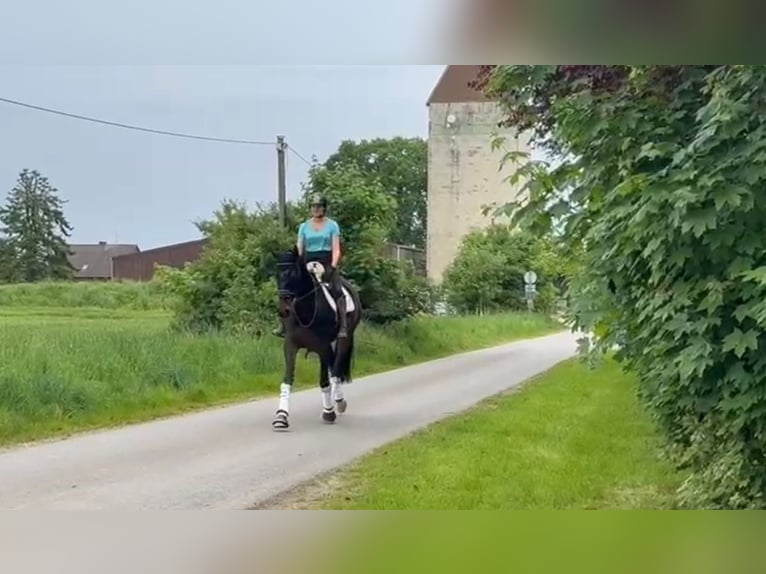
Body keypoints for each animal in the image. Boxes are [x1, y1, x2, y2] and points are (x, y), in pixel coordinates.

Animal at [272, 248, 364, 432]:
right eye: (277, 274)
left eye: (293, 274)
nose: (284, 310)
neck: (306, 309)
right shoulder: (290, 346)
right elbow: (287, 380)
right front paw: (281, 417)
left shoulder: (322, 347)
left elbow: (324, 381)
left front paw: (328, 412)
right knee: (334, 369)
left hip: (343, 340)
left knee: (335, 371)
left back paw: (339, 403)